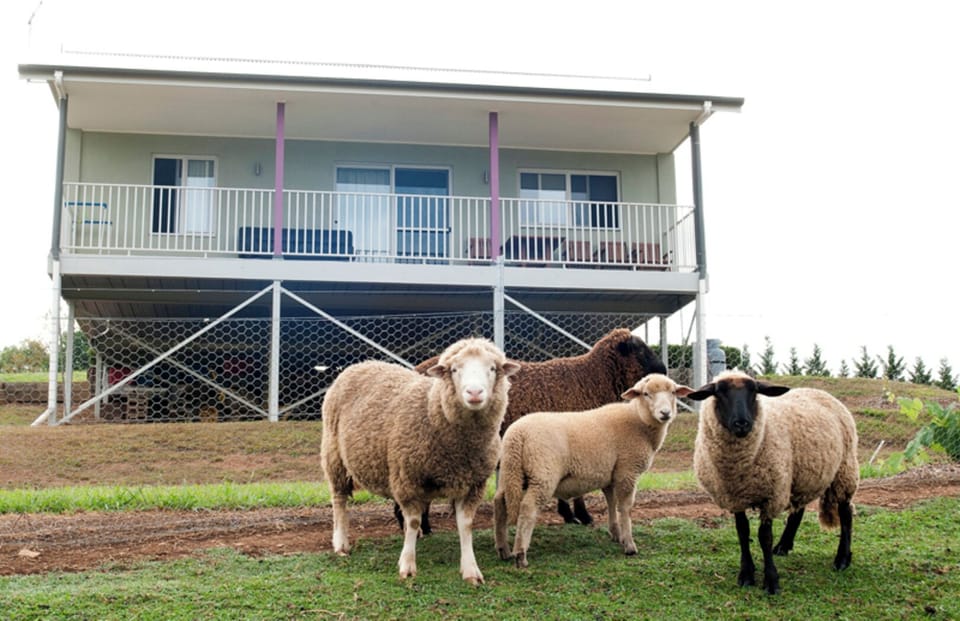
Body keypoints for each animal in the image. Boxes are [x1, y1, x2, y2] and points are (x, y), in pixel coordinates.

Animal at [320, 337, 520, 584]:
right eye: (455, 369)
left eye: (492, 368)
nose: (474, 392)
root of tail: (361, 364)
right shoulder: (407, 479)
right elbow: (413, 521)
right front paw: (407, 566)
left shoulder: (473, 484)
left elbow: (466, 525)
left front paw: (471, 570)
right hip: (334, 455)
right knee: (339, 500)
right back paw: (341, 543)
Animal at [401, 328, 667, 534]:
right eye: (640, 349)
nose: (663, 369)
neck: (591, 380)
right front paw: (582, 516)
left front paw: (569, 515)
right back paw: (418, 526)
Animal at [493, 373, 692, 567]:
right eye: (646, 394)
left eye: (673, 392)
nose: (665, 413)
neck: (639, 420)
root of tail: (517, 435)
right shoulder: (627, 471)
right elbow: (625, 508)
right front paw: (629, 545)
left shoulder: (611, 475)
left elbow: (611, 503)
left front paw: (616, 534)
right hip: (542, 474)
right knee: (528, 508)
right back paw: (520, 554)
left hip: (510, 471)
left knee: (500, 503)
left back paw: (504, 550)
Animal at [686, 370, 859, 595]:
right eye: (719, 393)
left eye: (754, 392)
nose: (742, 424)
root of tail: (819, 391)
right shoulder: (735, 497)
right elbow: (742, 532)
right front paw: (746, 574)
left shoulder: (771, 495)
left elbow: (764, 536)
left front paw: (771, 580)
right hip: (800, 475)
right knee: (799, 510)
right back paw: (784, 546)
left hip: (844, 470)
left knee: (845, 513)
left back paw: (842, 559)